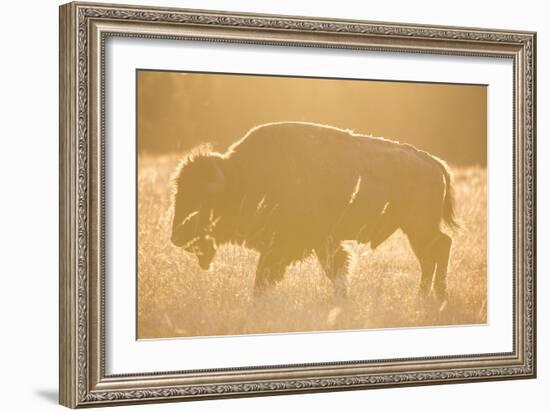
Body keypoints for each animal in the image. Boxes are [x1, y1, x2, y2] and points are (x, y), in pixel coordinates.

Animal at [172, 122, 462, 306]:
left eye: (202, 198)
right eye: (178, 193)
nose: (176, 236)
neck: (241, 178)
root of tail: (434, 162)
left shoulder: (289, 245)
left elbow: (267, 275)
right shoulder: (322, 243)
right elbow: (337, 270)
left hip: (418, 228)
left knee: (438, 250)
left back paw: (432, 296)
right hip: (416, 230)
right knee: (433, 253)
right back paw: (429, 296)